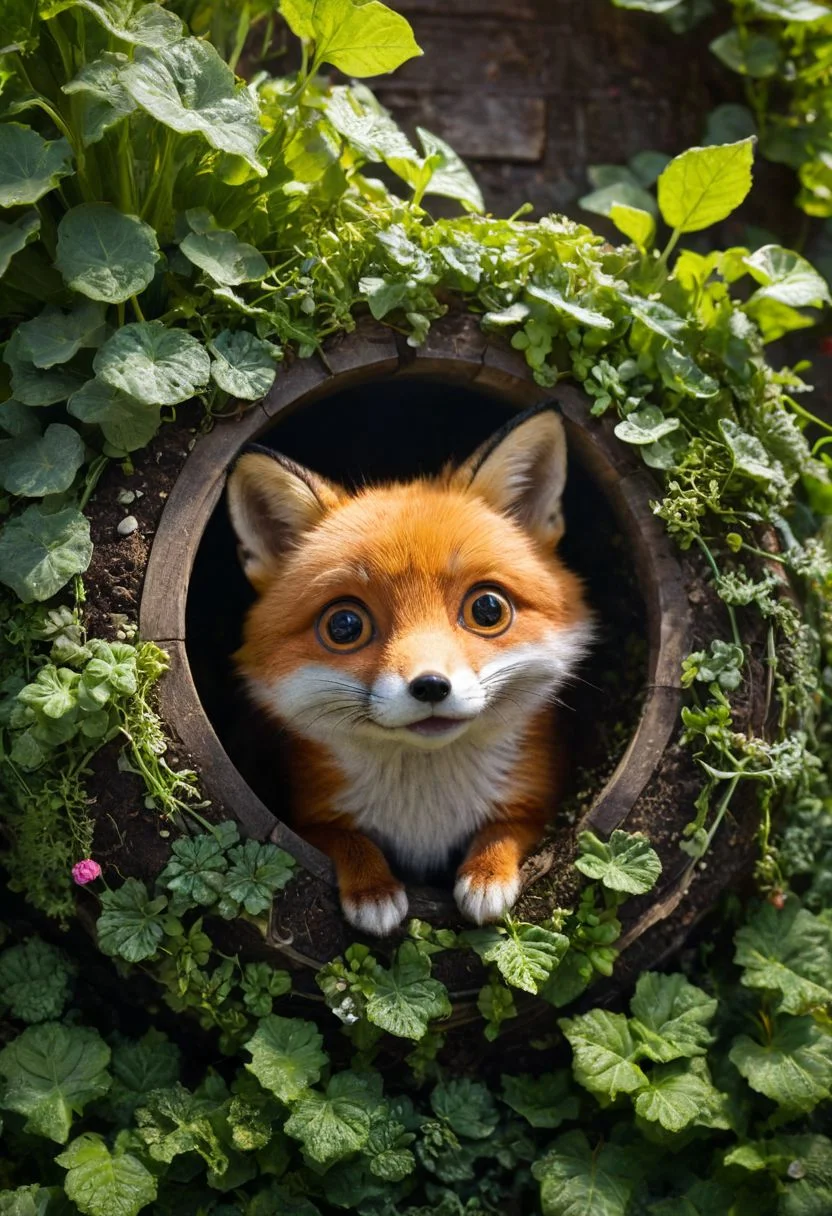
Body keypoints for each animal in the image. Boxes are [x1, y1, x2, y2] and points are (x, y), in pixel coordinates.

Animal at [226, 402, 593, 936]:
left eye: (487, 609)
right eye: (344, 624)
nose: (431, 686)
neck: (425, 808)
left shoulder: (536, 802)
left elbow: (507, 828)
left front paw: (488, 873)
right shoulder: (309, 817)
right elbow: (347, 839)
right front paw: (373, 888)